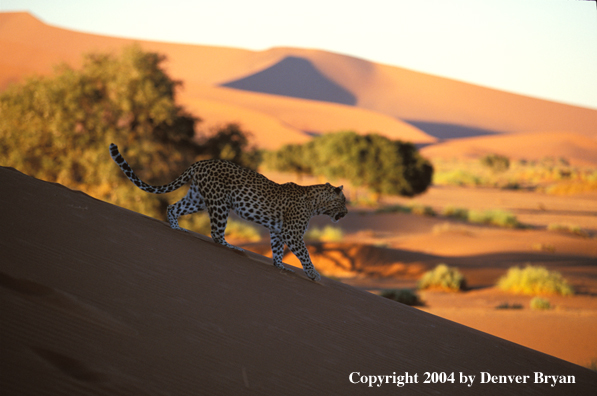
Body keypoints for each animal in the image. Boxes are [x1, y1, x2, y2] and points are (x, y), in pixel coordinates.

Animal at [109, 143, 346, 282]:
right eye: (343, 202)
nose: (345, 212)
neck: (316, 204)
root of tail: (202, 161)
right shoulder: (292, 233)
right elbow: (305, 254)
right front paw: (314, 274)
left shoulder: (279, 231)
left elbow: (278, 250)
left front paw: (280, 266)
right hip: (220, 204)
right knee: (216, 233)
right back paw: (233, 247)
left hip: (198, 198)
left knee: (173, 207)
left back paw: (177, 228)